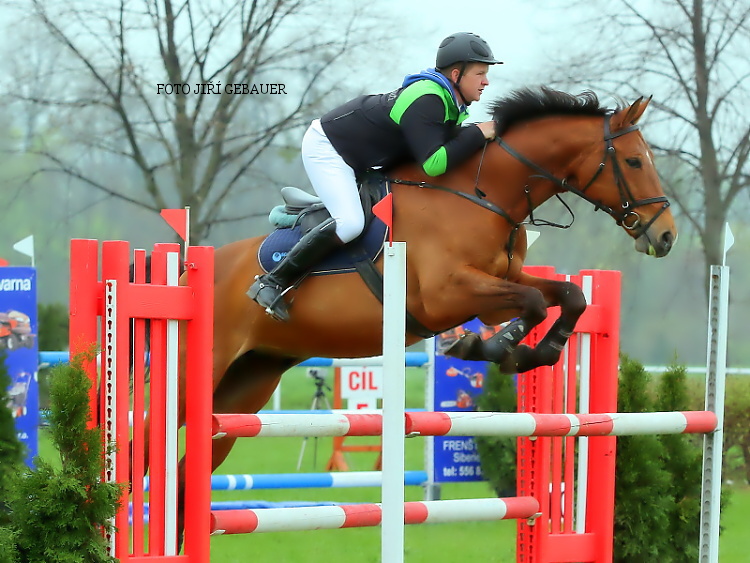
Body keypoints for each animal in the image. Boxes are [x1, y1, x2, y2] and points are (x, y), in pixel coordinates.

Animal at [164, 87, 677, 545]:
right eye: (634, 161)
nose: (666, 236)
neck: (483, 195)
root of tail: (190, 270)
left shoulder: (501, 285)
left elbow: (569, 295)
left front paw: (537, 351)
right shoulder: (448, 294)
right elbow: (531, 303)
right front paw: (488, 346)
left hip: (248, 383)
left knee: (188, 473)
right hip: (195, 375)